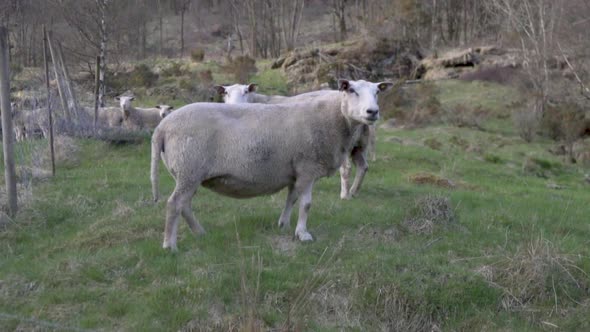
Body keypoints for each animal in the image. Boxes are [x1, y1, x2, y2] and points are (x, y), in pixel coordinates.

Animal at [217, 82, 380, 200]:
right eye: (226, 93)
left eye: (246, 91)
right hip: (360, 144)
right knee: (363, 166)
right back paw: (353, 192)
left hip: (345, 143)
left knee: (347, 169)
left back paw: (344, 195)